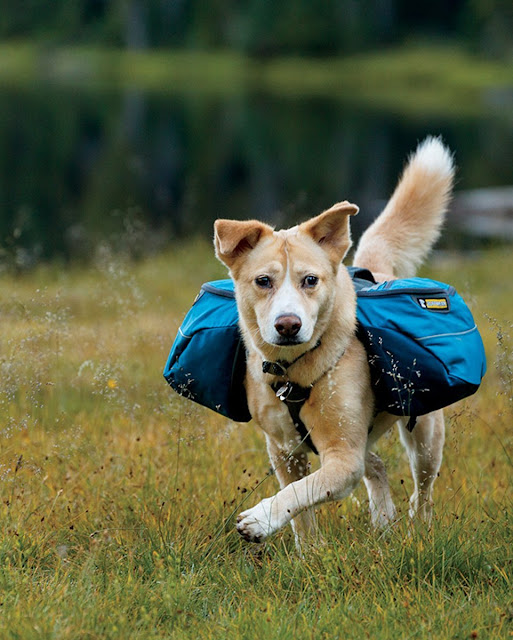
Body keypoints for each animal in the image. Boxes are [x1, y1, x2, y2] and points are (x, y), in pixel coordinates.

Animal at [214, 136, 454, 544]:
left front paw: (259, 519)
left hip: (425, 436)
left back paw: (419, 531)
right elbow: (300, 506)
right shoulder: (284, 451)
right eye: (263, 281)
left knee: (423, 490)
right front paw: (309, 550)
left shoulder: (342, 455)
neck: (294, 372)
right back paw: (382, 519)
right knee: (375, 464)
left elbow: (301, 491)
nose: (288, 325)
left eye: (310, 280)